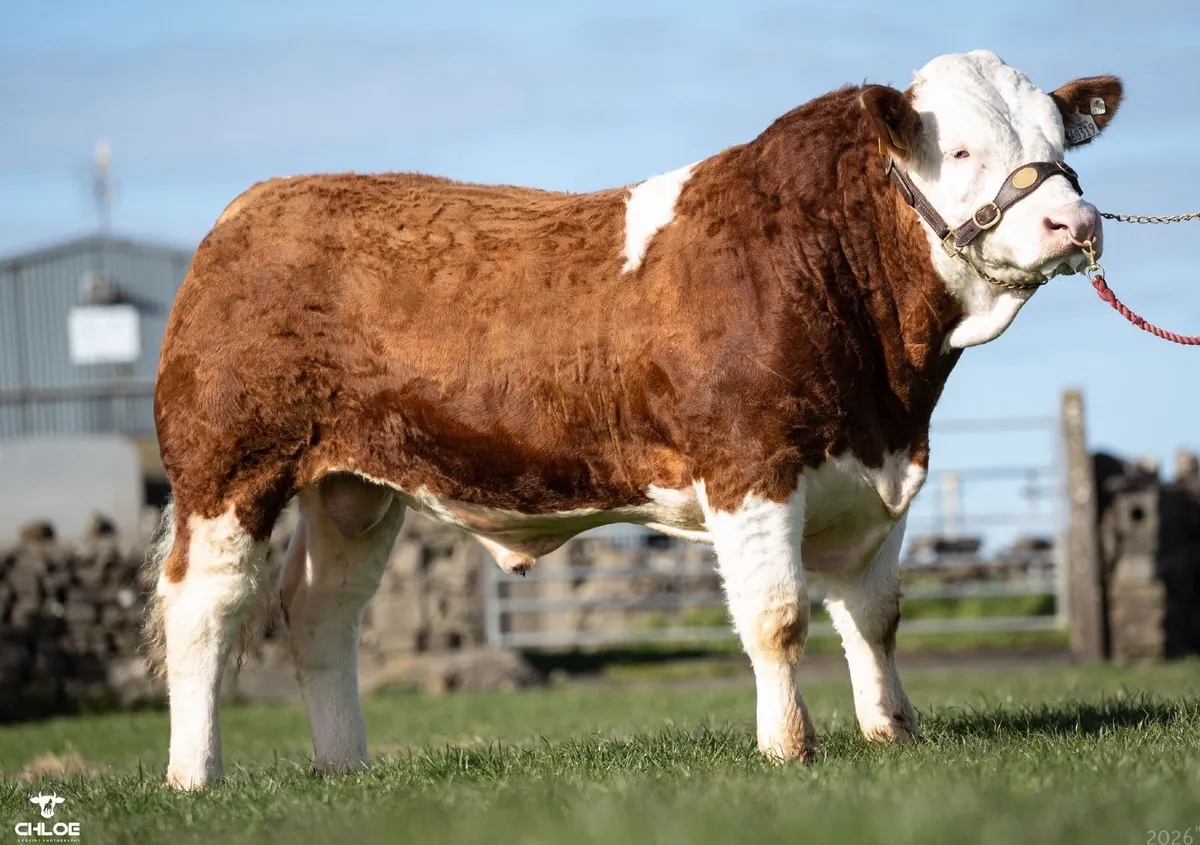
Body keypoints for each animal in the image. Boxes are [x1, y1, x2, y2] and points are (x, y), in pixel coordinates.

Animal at [143, 49, 1123, 789]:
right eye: (958, 152)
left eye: (1055, 139)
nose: (1075, 221)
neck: (890, 381)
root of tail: (256, 205)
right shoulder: (749, 465)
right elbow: (778, 617)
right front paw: (788, 748)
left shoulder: (878, 479)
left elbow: (873, 616)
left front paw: (893, 733)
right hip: (228, 467)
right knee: (205, 609)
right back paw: (195, 777)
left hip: (354, 487)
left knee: (321, 609)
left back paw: (346, 764)